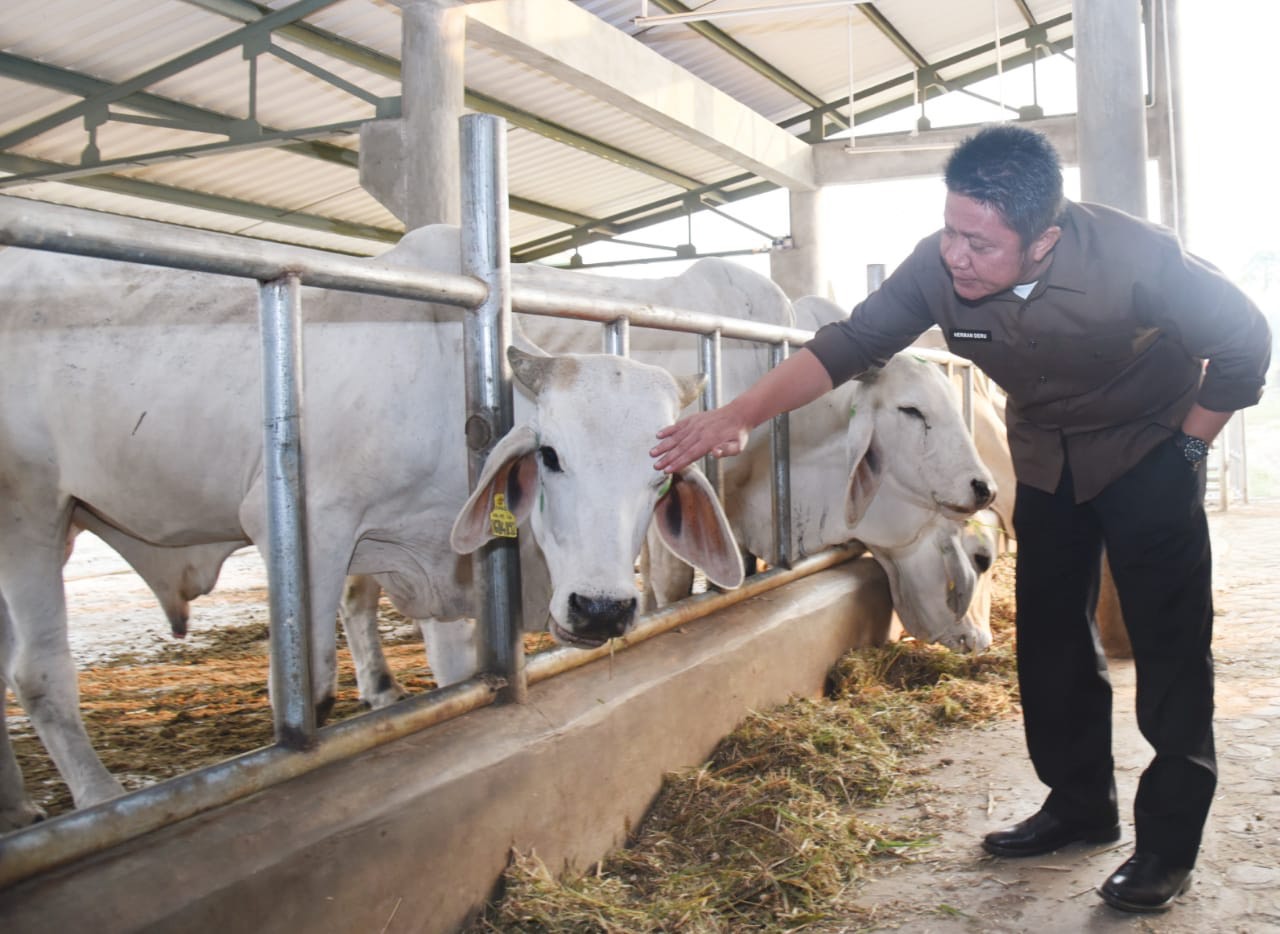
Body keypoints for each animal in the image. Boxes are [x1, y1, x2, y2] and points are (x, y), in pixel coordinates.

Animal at [0, 227, 742, 829]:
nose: (602, 609)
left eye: (662, 479)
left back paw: (19, 804)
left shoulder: (446, 574)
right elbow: (313, 691)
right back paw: (98, 803)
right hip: (28, 511)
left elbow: (455, 674)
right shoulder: (304, 528)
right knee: (39, 673)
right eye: (552, 456)